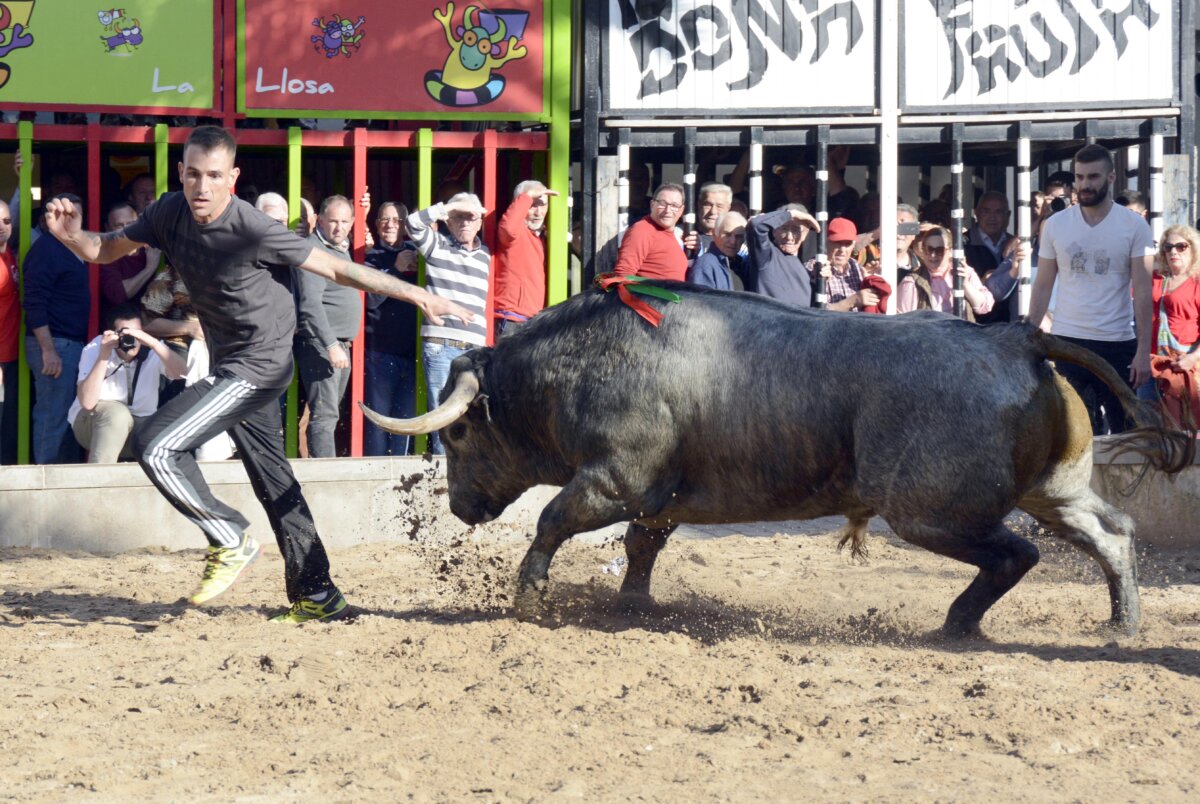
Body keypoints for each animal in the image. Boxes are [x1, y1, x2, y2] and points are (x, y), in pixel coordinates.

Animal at [360, 286, 1195, 638]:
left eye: (456, 437)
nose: (461, 506)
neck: (588, 354)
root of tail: (1015, 337)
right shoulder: (661, 496)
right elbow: (640, 546)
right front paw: (634, 604)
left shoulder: (615, 478)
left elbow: (554, 521)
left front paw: (528, 596)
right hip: (1055, 489)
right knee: (1112, 533)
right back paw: (1121, 624)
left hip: (929, 511)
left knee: (1015, 554)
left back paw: (957, 623)